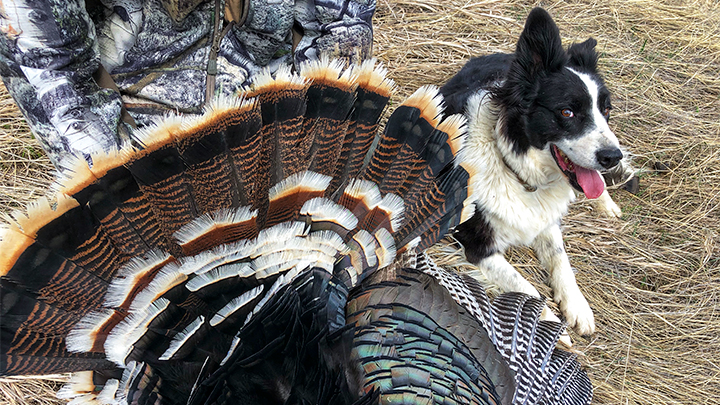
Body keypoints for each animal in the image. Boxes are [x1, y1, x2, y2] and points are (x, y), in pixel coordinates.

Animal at [444, 7, 624, 334]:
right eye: (567, 112)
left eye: (606, 111)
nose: (612, 157)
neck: (521, 174)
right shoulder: (474, 241)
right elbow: (524, 286)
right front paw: (550, 324)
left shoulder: (546, 221)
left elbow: (561, 259)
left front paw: (578, 305)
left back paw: (607, 204)